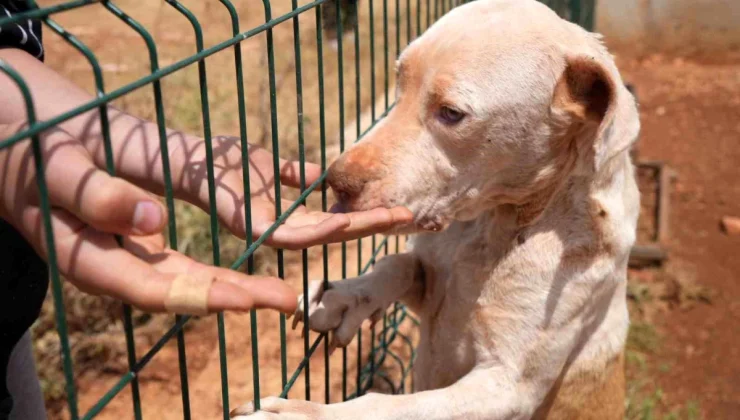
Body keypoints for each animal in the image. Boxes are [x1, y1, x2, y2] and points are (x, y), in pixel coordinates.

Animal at [234, 1, 640, 418]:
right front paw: (339, 297)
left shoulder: (507, 387)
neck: (494, 226)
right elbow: (397, 265)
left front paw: (304, 412)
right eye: (398, 84)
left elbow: (387, 405)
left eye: (451, 113)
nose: (336, 182)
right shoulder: (431, 287)